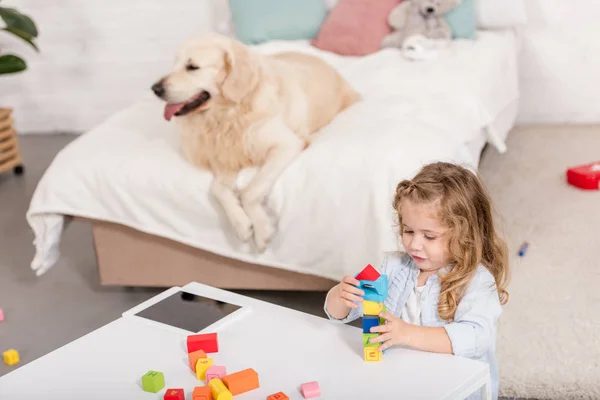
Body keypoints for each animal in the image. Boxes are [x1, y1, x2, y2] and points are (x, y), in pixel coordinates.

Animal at [152, 32, 360, 250]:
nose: (154, 88)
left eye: (192, 67)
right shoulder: (225, 158)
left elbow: (249, 192)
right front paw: (241, 224)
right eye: (174, 64)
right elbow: (217, 189)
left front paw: (262, 230)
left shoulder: (286, 145)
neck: (227, 114)